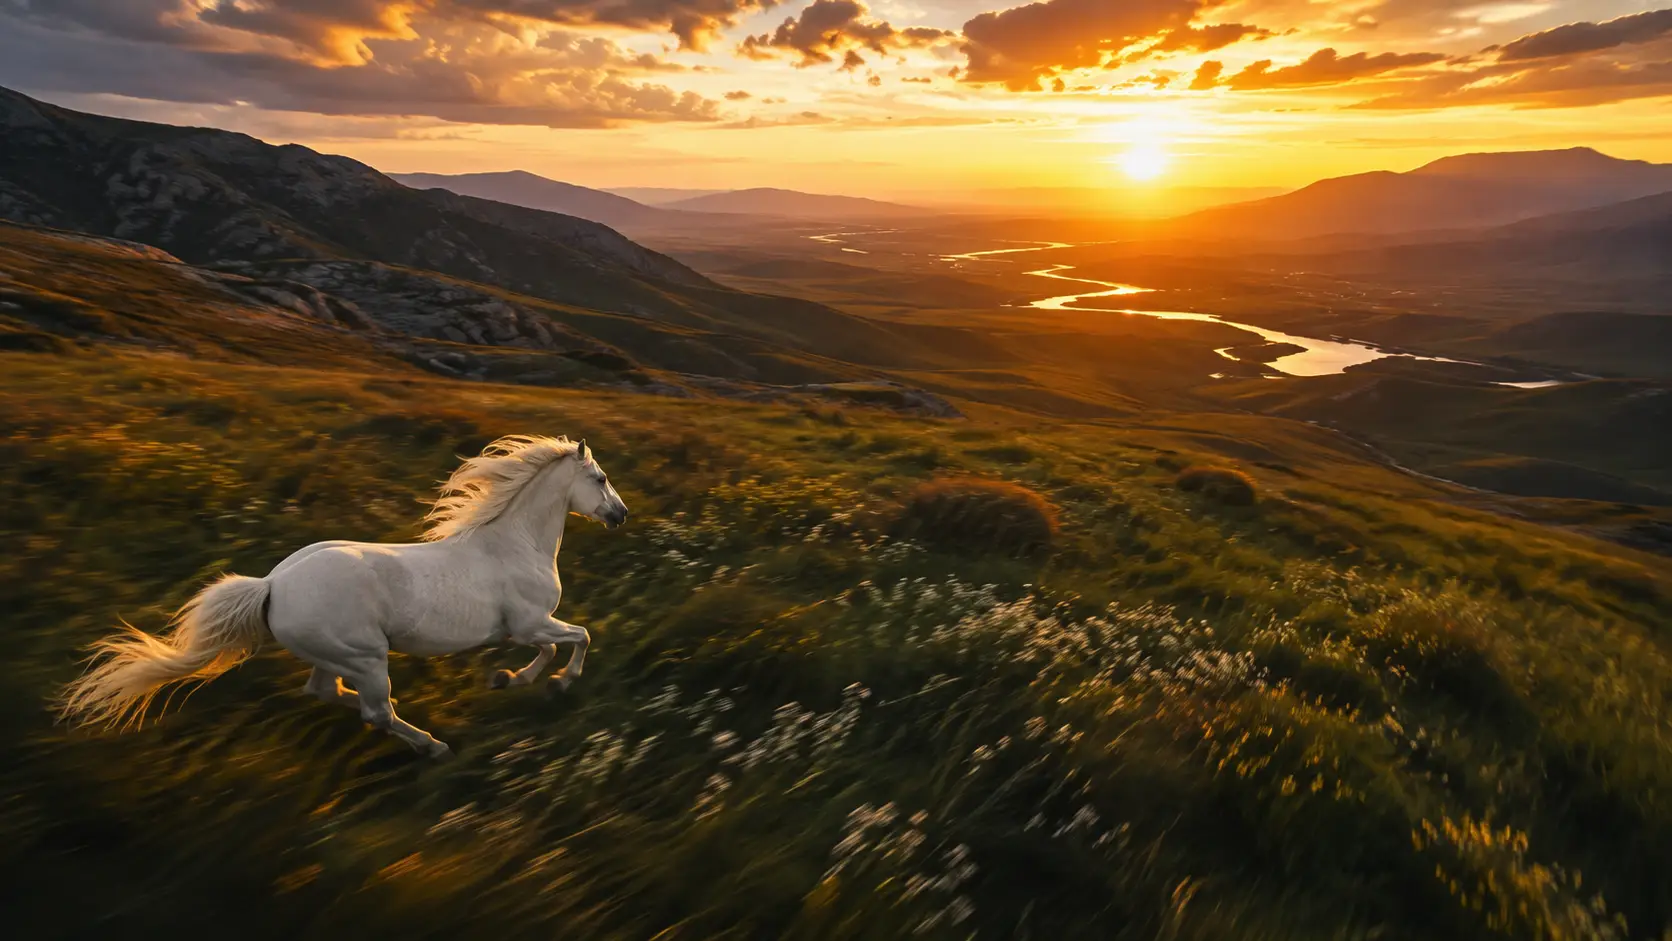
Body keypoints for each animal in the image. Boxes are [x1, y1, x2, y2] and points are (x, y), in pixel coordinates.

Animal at [58, 434, 629, 758]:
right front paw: (554, 683)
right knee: (376, 712)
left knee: (328, 692)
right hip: (366, 655)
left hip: (334, 655)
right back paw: (433, 745)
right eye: (601, 477)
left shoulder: (520, 628)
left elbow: (554, 645)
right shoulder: (529, 621)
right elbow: (578, 637)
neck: (514, 542)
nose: (620, 515)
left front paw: (510, 678)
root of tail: (272, 586)